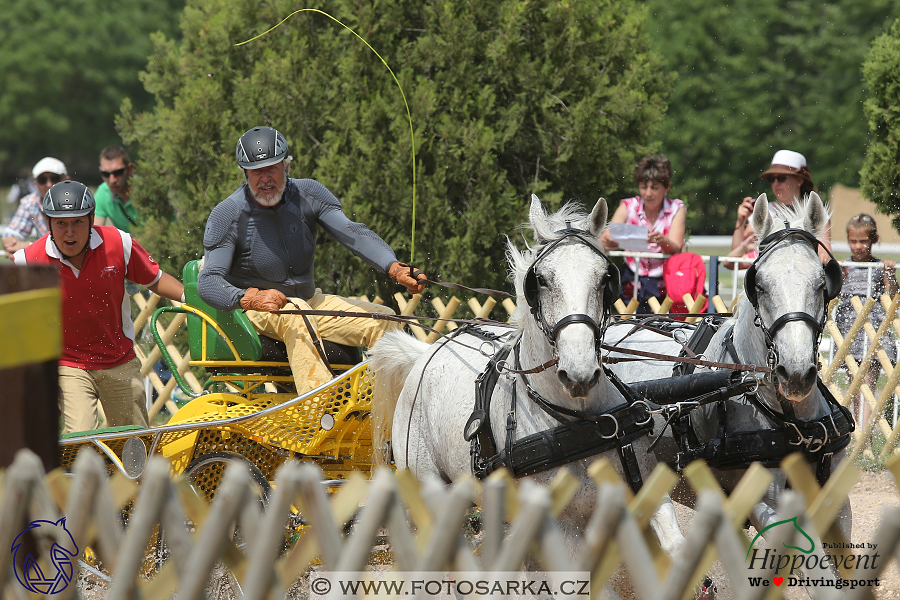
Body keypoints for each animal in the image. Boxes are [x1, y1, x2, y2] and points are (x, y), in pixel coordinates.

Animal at [370, 196, 684, 556]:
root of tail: (425, 354)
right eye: (542, 280)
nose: (578, 373)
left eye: (605, 278)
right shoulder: (562, 526)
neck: (582, 423)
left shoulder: (649, 496)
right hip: (428, 490)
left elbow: (677, 547)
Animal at [604, 193, 852, 540]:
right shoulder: (767, 505)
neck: (794, 424)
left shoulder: (838, 507)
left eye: (821, 282)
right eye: (758, 283)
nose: (796, 373)